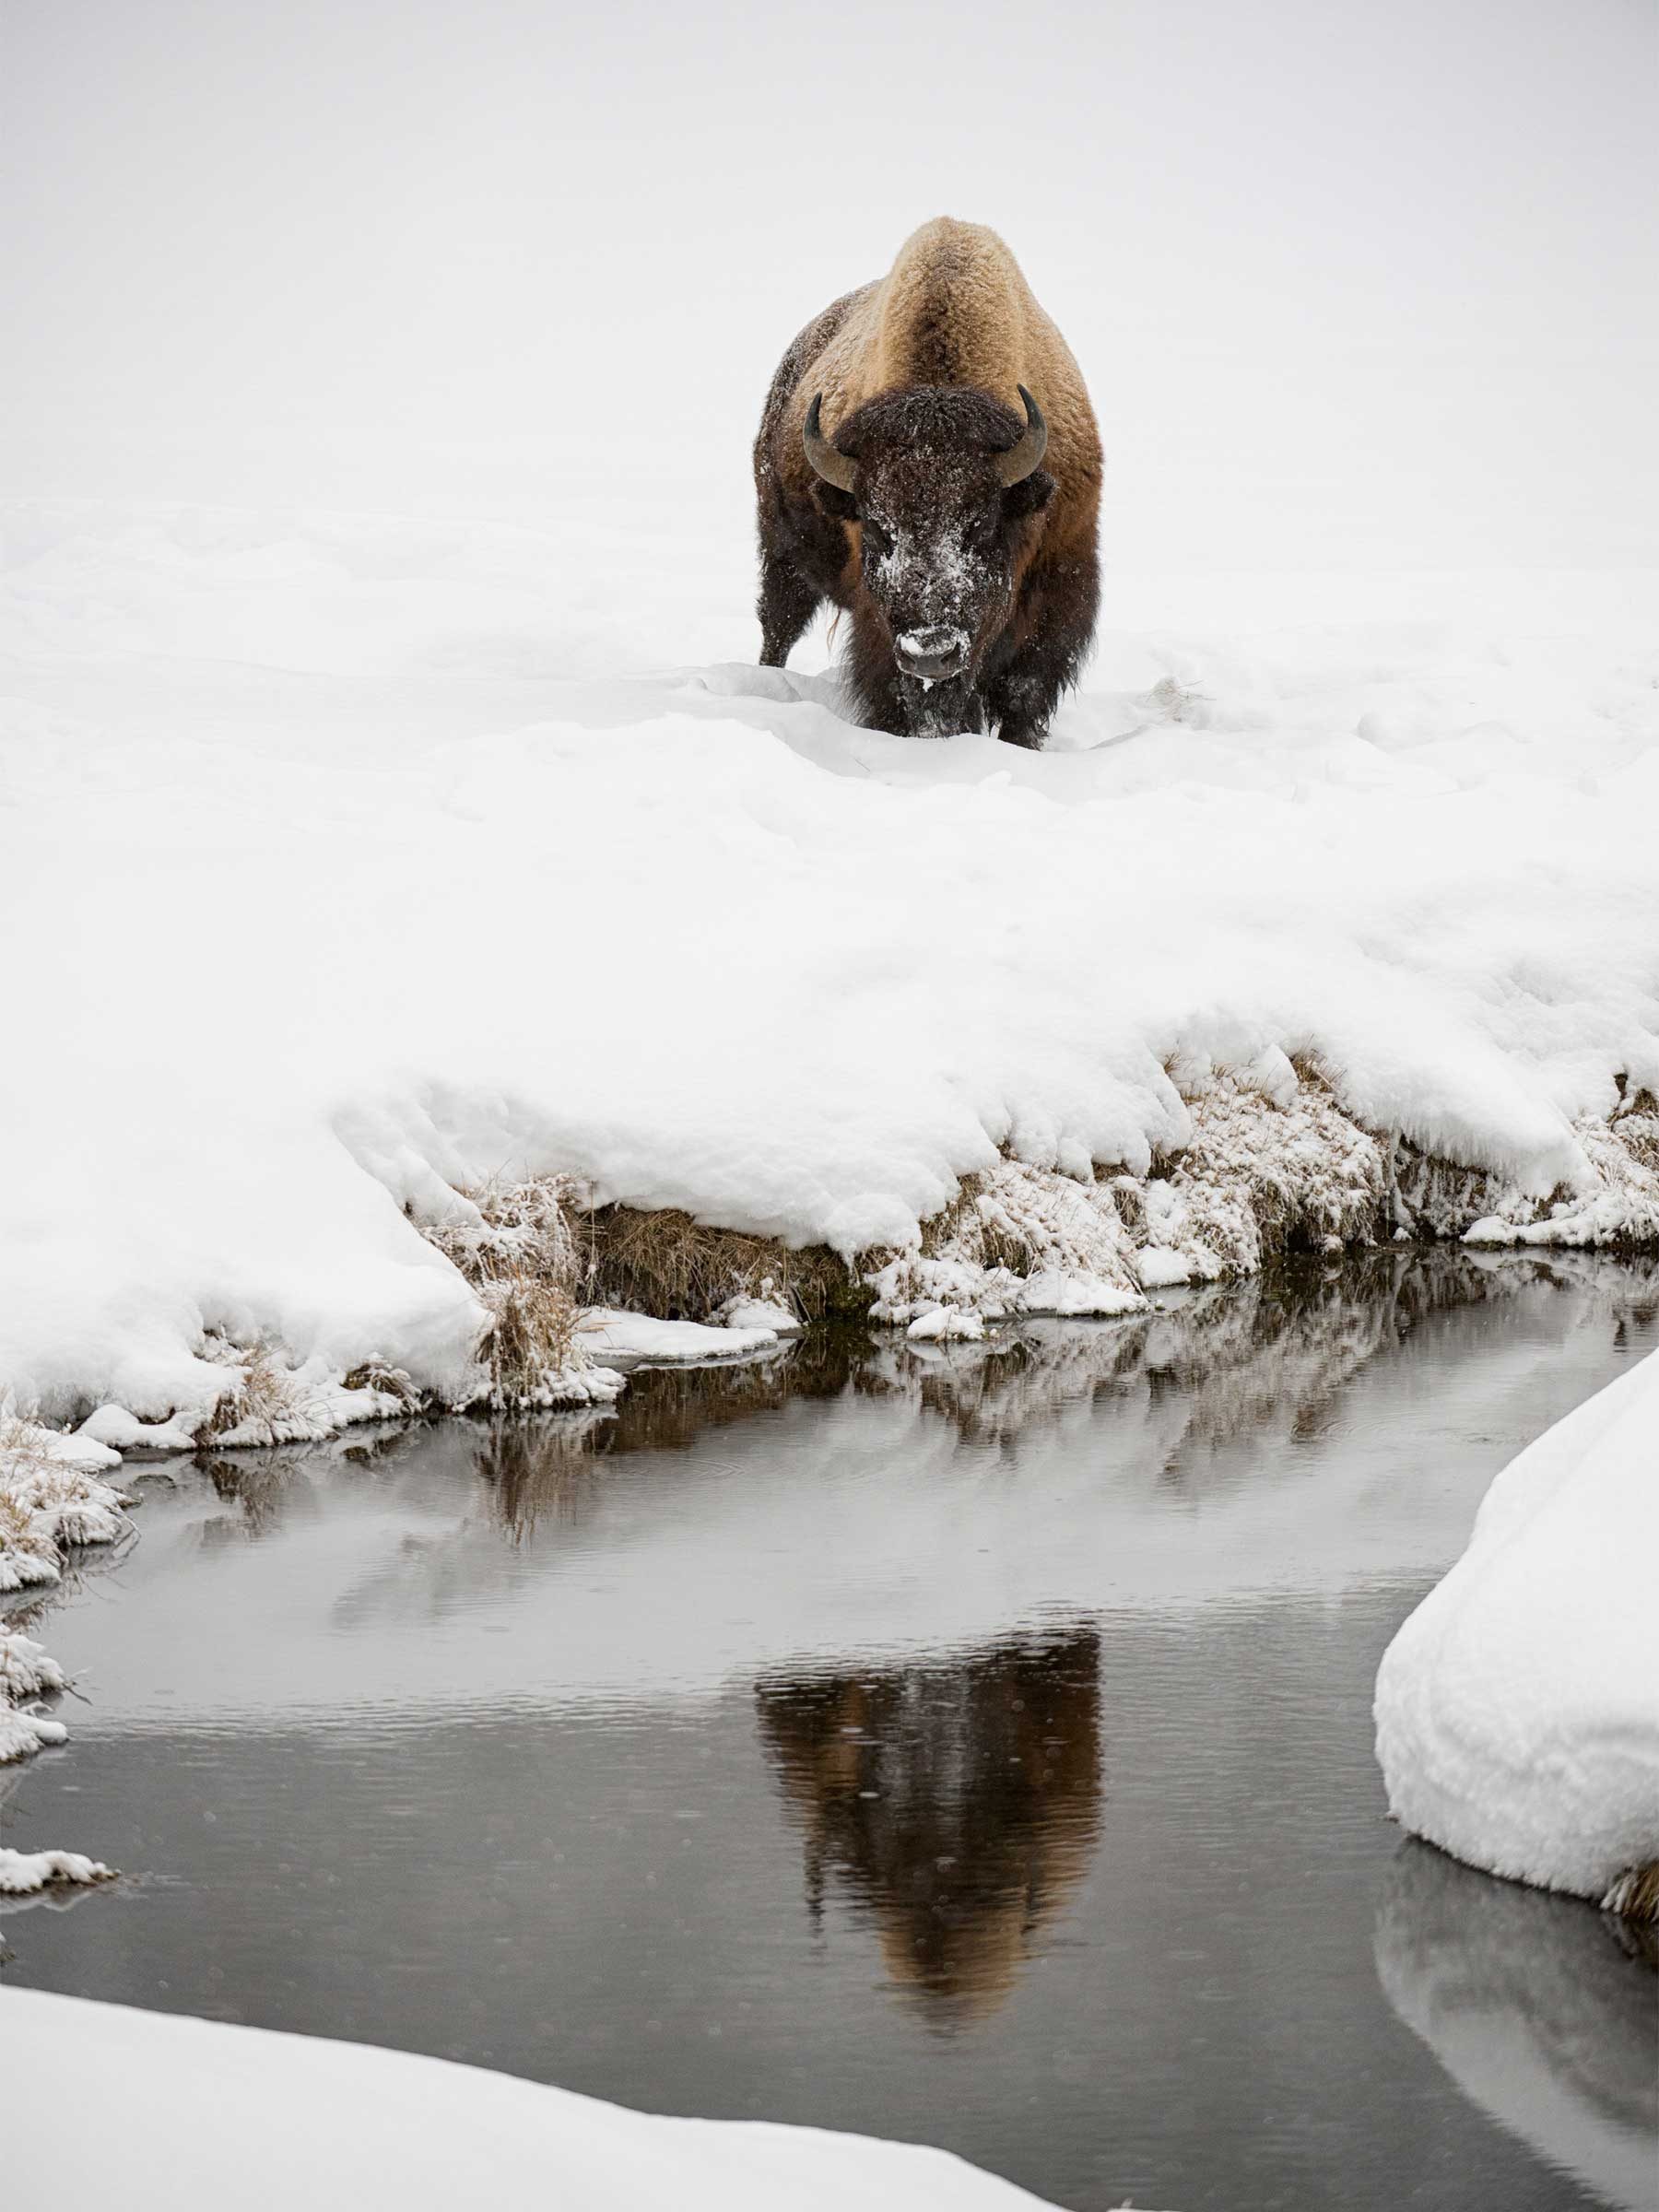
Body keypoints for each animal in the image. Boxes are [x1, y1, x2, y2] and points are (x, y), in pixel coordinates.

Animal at [753, 217, 1102, 748]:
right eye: (877, 529)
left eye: (981, 525)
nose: (930, 654)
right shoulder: (879, 628)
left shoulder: (1062, 579)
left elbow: (1023, 690)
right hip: (781, 553)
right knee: (778, 626)